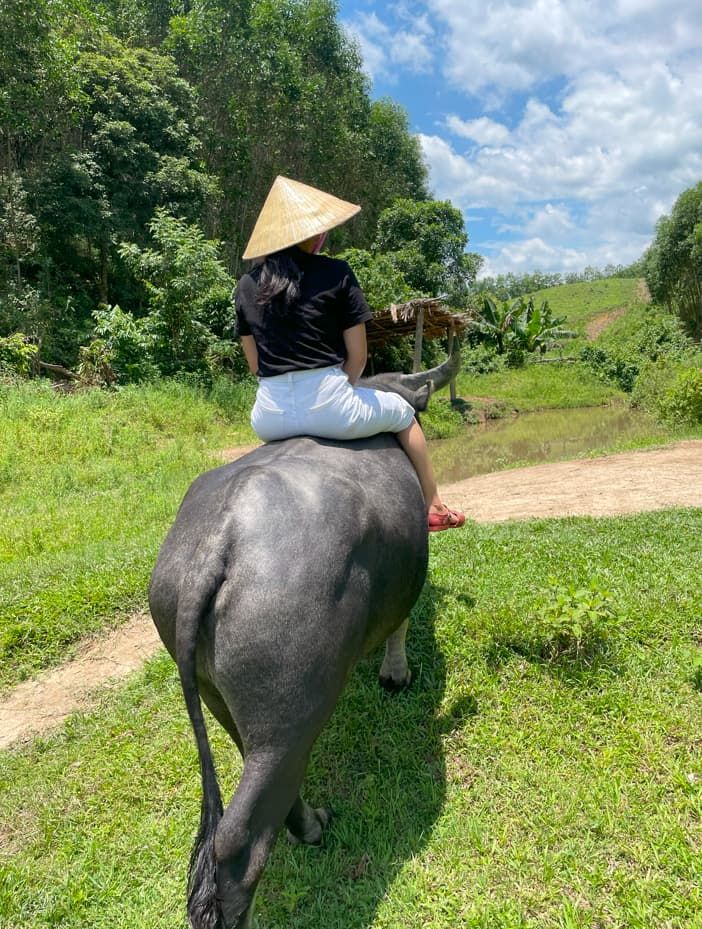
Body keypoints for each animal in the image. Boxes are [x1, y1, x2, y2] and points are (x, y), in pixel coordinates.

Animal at [148, 348, 460, 929]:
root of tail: (217, 539)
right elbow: (402, 623)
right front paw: (396, 673)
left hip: (223, 700)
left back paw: (311, 821)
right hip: (288, 714)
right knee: (237, 839)